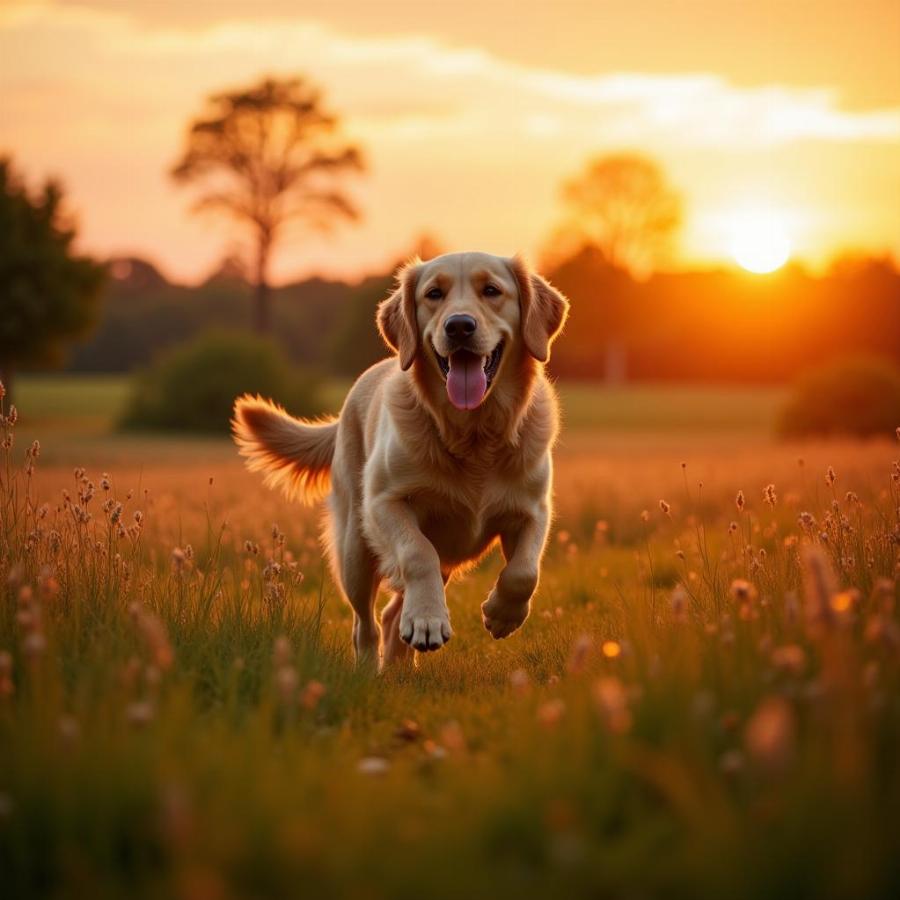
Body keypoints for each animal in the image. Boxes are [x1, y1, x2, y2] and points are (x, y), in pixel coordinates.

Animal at [232, 250, 568, 664]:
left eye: (491, 290)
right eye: (433, 294)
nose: (459, 326)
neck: (473, 434)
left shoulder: (533, 509)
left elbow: (525, 570)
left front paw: (501, 614)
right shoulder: (384, 503)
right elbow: (417, 554)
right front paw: (428, 619)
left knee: (393, 614)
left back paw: (402, 661)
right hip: (355, 551)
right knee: (366, 624)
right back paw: (373, 664)